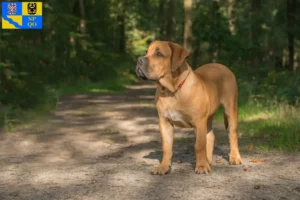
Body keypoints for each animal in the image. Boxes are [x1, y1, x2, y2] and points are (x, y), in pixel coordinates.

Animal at [135, 41, 241, 175]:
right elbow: (166, 146)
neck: (172, 90)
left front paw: (201, 166)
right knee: (210, 136)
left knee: (232, 134)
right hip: (208, 117)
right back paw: (208, 160)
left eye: (159, 54)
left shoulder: (199, 122)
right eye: (146, 52)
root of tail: (223, 66)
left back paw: (234, 158)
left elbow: (199, 145)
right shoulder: (164, 122)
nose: (139, 60)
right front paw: (163, 167)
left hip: (230, 109)